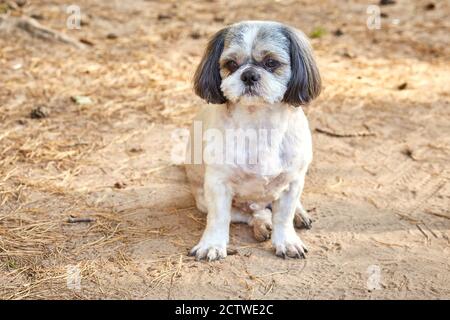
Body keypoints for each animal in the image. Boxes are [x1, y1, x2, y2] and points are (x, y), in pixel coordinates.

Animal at [185, 20, 322, 262]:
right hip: (203, 200)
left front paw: (287, 241)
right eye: (231, 64)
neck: (259, 124)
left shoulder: (293, 182)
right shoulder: (218, 185)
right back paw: (262, 223)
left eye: (271, 63)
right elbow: (219, 218)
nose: (249, 75)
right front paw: (212, 245)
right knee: (253, 213)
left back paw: (299, 213)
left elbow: (283, 216)